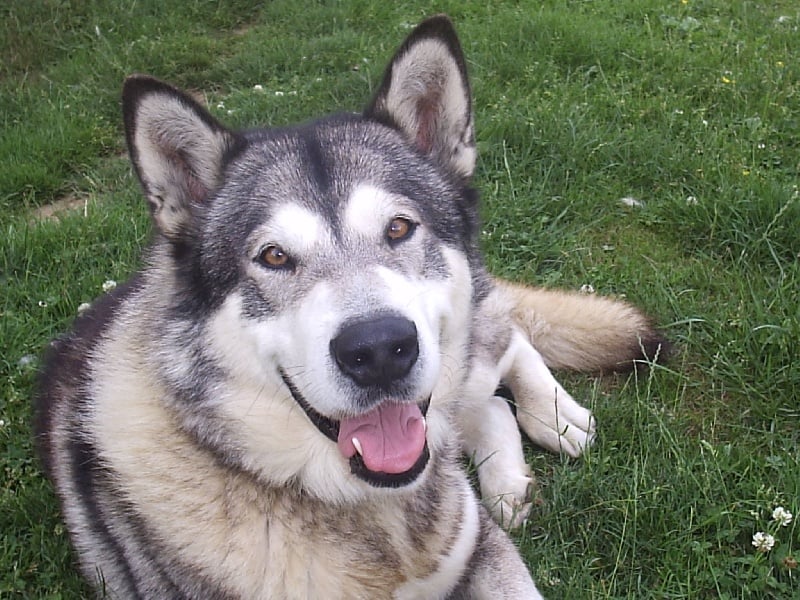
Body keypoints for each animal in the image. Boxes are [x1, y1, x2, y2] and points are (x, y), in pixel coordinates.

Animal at [34, 15, 664, 600]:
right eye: (274, 256)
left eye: (399, 227)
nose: (380, 349)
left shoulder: (483, 549)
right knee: (488, 405)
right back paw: (508, 480)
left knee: (507, 336)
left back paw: (556, 416)